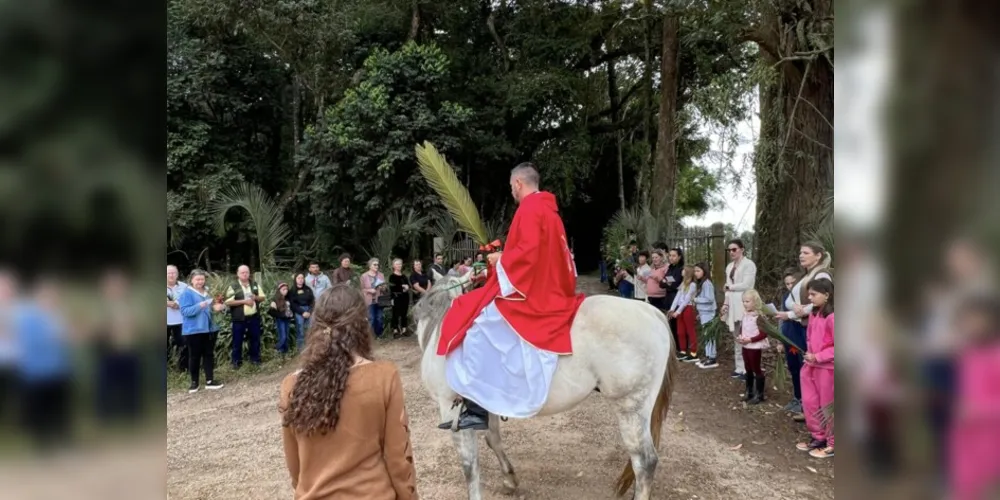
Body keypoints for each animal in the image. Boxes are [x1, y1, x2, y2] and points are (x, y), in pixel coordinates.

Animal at [412, 274, 680, 500]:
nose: (414, 313)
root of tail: (650, 311)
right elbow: (493, 439)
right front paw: (509, 478)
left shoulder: (450, 407)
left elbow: (469, 464)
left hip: (630, 406)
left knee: (644, 461)